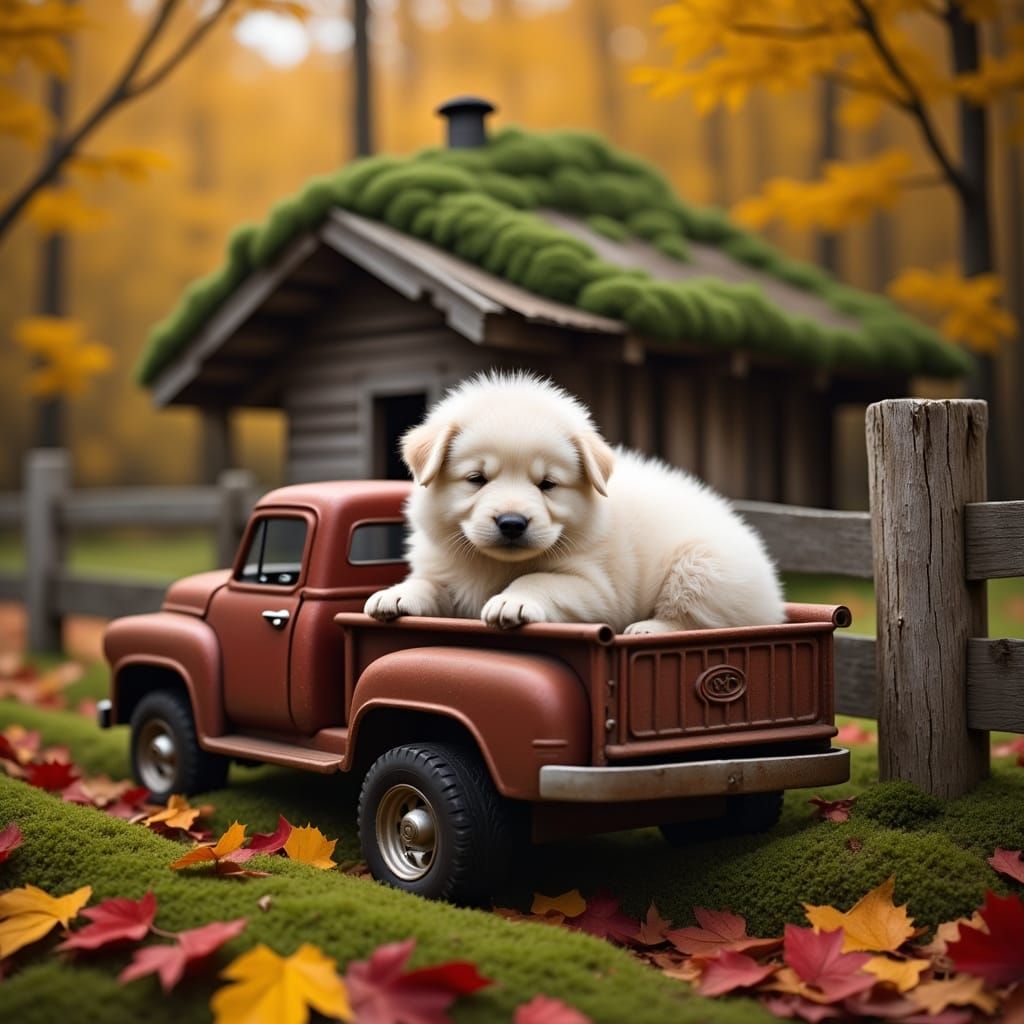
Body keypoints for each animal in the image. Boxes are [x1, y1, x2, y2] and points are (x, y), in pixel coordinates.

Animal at [364, 376, 786, 630]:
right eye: (477, 479)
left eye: (547, 484)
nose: (512, 522)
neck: (493, 565)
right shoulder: (445, 567)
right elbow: (428, 582)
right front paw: (396, 594)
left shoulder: (597, 588)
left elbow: (538, 579)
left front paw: (511, 601)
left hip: (703, 567)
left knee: (698, 620)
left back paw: (649, 628)